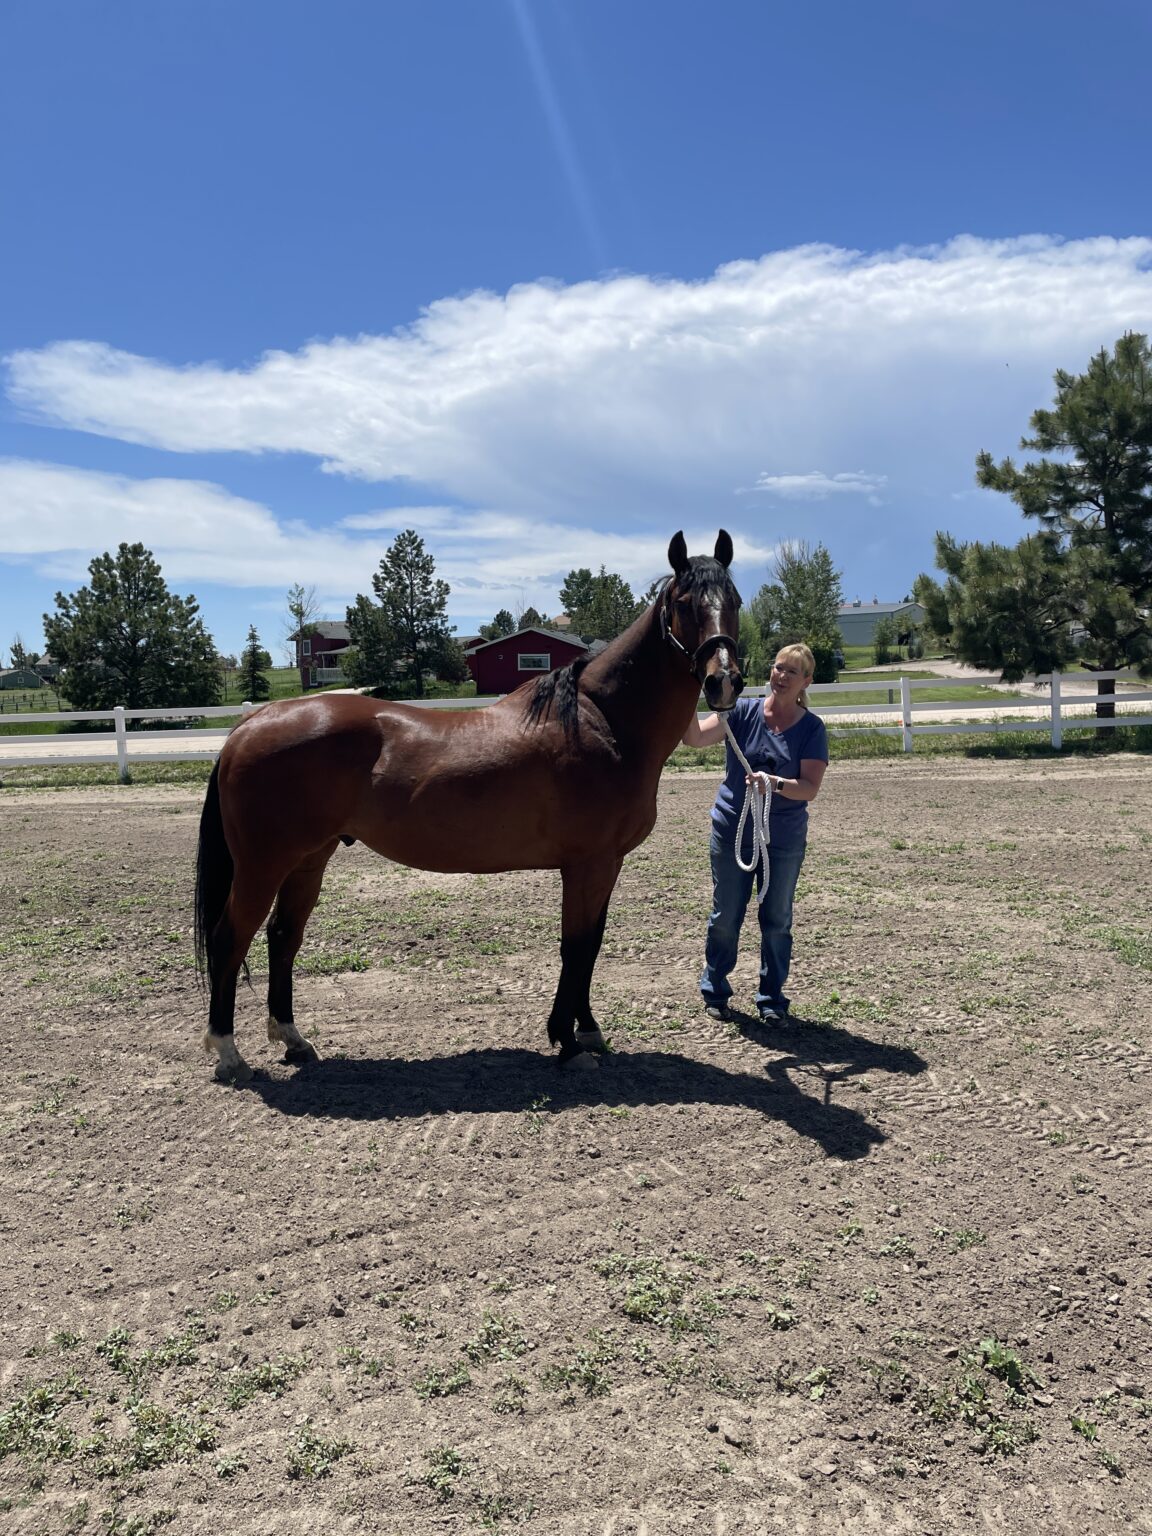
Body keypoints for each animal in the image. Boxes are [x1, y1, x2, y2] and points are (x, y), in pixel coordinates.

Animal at [194, 530, 743, 1083]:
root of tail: (250, 723)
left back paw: (293, 1039)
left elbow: (591, 944)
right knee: (229, 938)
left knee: (283, 937)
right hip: (264, 866)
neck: (601, 722)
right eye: (684, 603)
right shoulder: (587, 865)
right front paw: (568, 1042)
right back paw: (228, 1053)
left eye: (735, 601)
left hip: (309, 860)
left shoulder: (608, 864)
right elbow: (575, 946)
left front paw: (587, 1030)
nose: (724, 682)